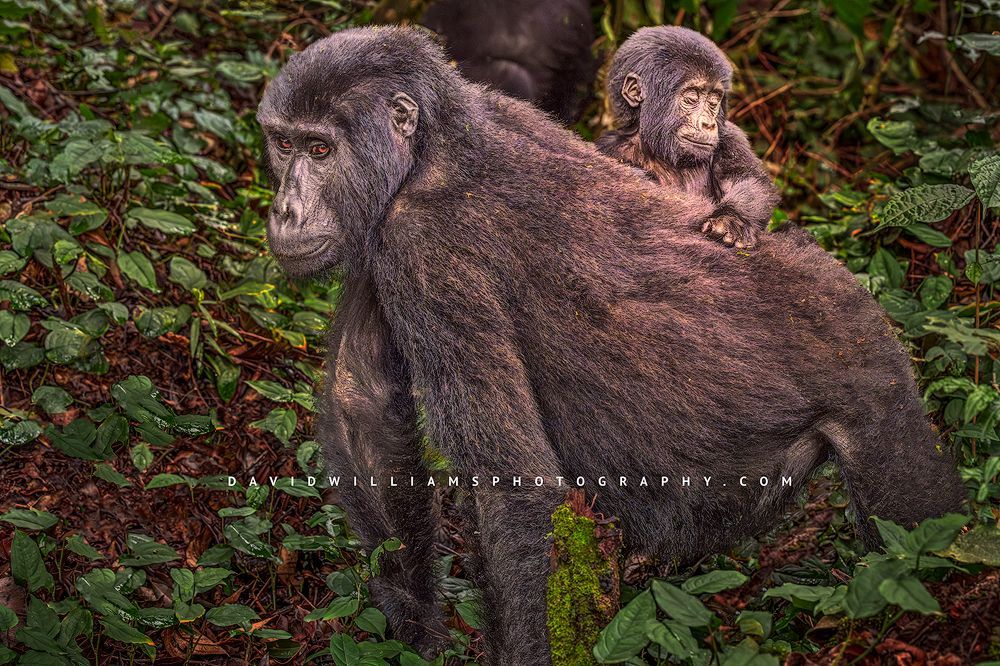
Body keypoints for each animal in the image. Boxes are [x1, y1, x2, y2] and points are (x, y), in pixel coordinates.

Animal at [597, 26, 780, 249]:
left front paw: (733, 220)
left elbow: (747, 178)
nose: (708, 123)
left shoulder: (730, 136)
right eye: (692, 97)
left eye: (713, 100)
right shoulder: (609, 149)